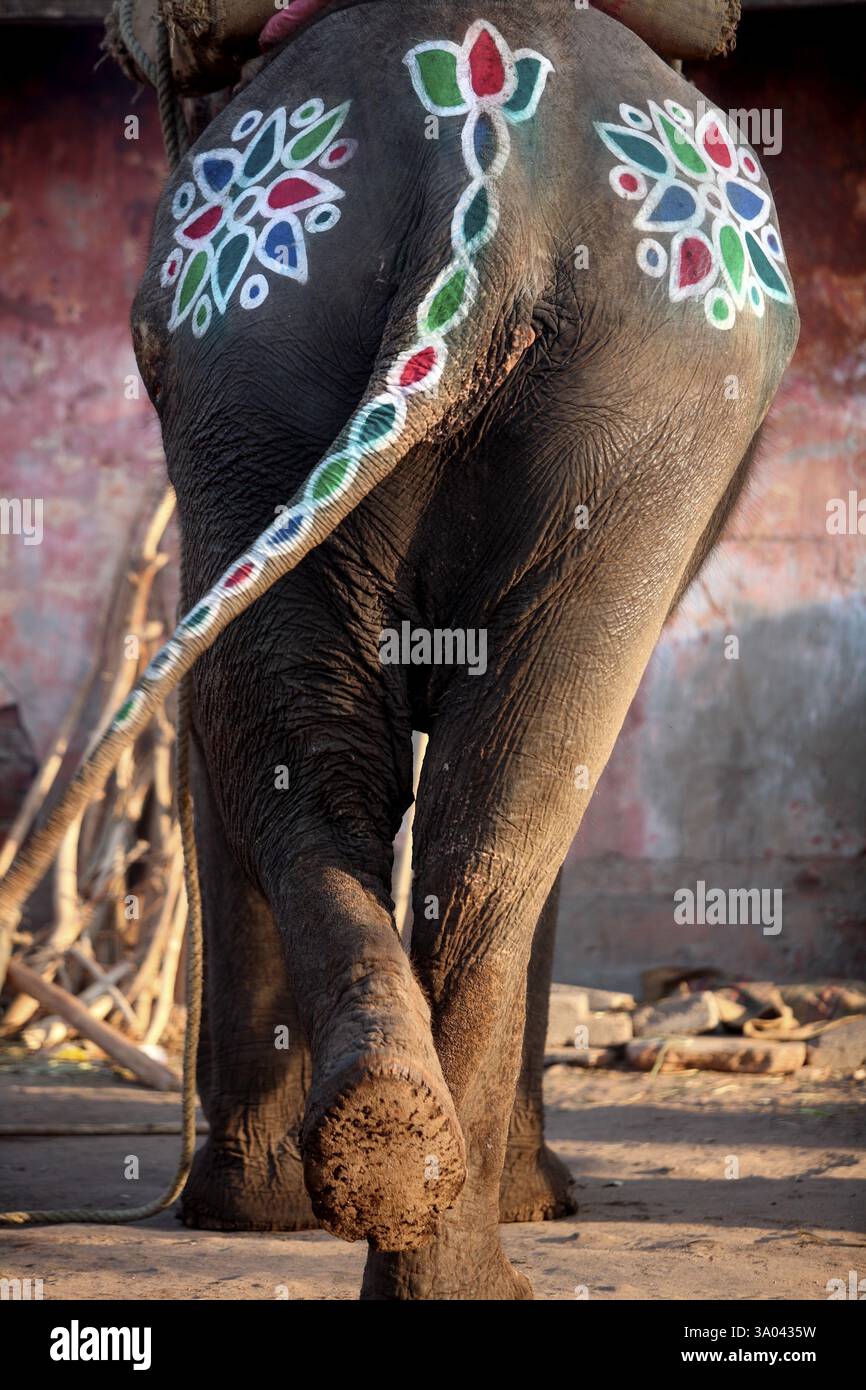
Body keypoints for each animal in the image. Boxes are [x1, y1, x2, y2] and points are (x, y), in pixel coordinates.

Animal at [131, 0, 798, 1299]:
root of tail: (476, 165)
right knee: (481, 788)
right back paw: (416, 1210)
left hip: (348, 369)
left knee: (426, 784)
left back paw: (399, 1172)